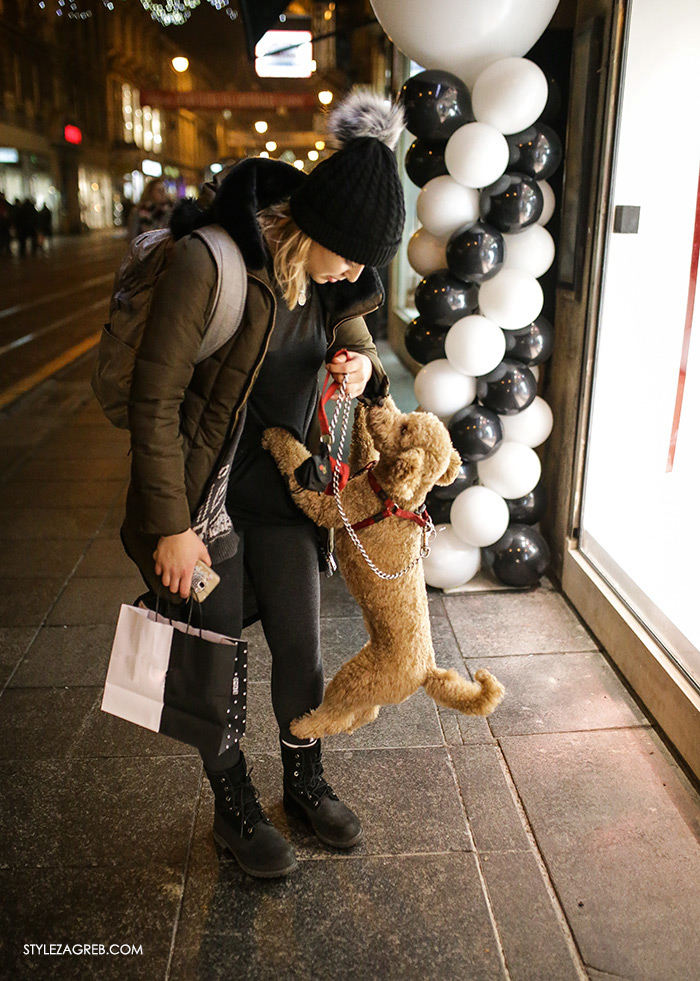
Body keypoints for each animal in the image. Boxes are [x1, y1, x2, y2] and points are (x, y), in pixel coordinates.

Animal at [262, 392, 504, 736]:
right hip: (368, 677)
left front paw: (274, 436)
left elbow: (298, 464)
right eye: (407, 420)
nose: (381, 404)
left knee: (335, 714)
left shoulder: (334, 506)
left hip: (356, 678)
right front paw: (362, 398)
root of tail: (425, 672)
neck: (395, 499)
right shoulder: (364, 464)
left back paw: (303, 726)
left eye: (403, 429)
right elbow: (363, 443)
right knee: (366, 713)